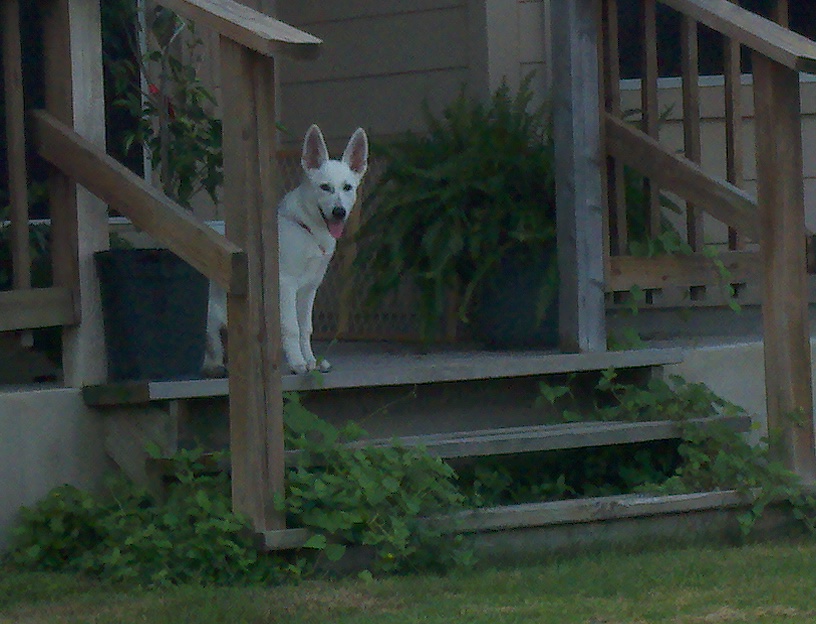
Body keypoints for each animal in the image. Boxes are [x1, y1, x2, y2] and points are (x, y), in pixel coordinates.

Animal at [204, 124, 370, 372]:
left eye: (347, 187)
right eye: (325, 187)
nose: (339, 212)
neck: (308, 229)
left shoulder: (309, 288)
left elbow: (305, 328)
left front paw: (311, 360)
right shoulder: (286, 284)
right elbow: (292, 328)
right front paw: (298, 362)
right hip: (214, 318)